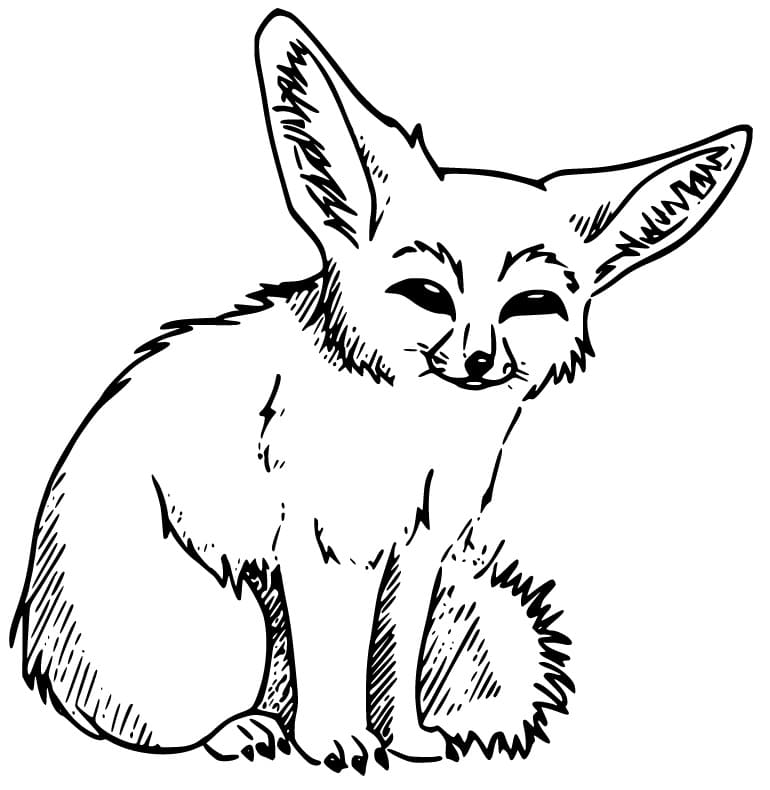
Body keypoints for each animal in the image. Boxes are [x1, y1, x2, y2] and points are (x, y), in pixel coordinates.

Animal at [11, 8, 751, 774]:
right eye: (427, 294)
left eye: (532, 305)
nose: (479, 359)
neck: (416, 437)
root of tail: (38, 658)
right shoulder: (320, 546)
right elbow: (332, 653)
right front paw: (333, 741)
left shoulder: (419, 547)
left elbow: (394, 650)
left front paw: (408, 737)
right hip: (231, 621)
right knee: (148, 726)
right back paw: (241, 729)